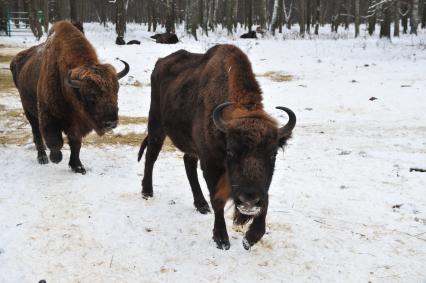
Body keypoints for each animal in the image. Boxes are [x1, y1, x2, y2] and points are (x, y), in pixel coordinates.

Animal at [10, 21, 130, 174]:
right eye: (90, 95)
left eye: (116, 90)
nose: (111, 123)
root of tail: (16, 60)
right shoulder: (48, 115)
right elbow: (55, 141)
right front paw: (56, 158)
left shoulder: (77, 123)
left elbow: (76, 144)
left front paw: (78, 167)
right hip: (28, 110)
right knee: (36, 132)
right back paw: (43, 158)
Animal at [137, 44, 296, 251]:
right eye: (231, 152)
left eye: (273, 155)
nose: (249, 200)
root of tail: (161, 62)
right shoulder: (210, 164)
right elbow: (217, 200)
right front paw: (221, 238)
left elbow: (266, 201)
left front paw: (250, 238)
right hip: (157, 126)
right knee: (151, 156)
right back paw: (147, 192)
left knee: (188, 163)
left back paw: (201, 204)